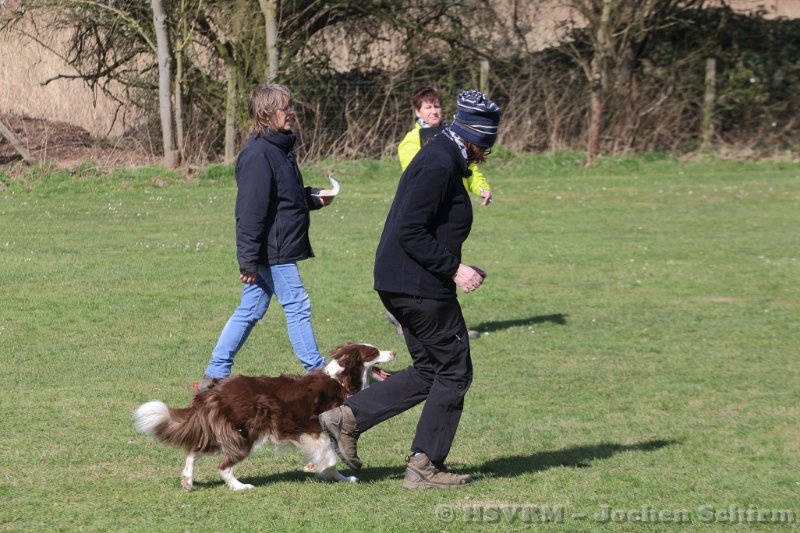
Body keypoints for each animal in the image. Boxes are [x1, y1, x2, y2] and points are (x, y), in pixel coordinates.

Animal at [133, 343, 395, 491]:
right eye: (374, 351)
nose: (394, 351)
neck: (341, 379)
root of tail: (214, 392)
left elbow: (329, 460)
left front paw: (336, 476)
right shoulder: (314, 430)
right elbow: (329, 458)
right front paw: (319, 469)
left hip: (226, 433)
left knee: (194, 450)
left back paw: (187, 481)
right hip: (245, 435)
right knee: (223, 466)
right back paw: (240, 487)